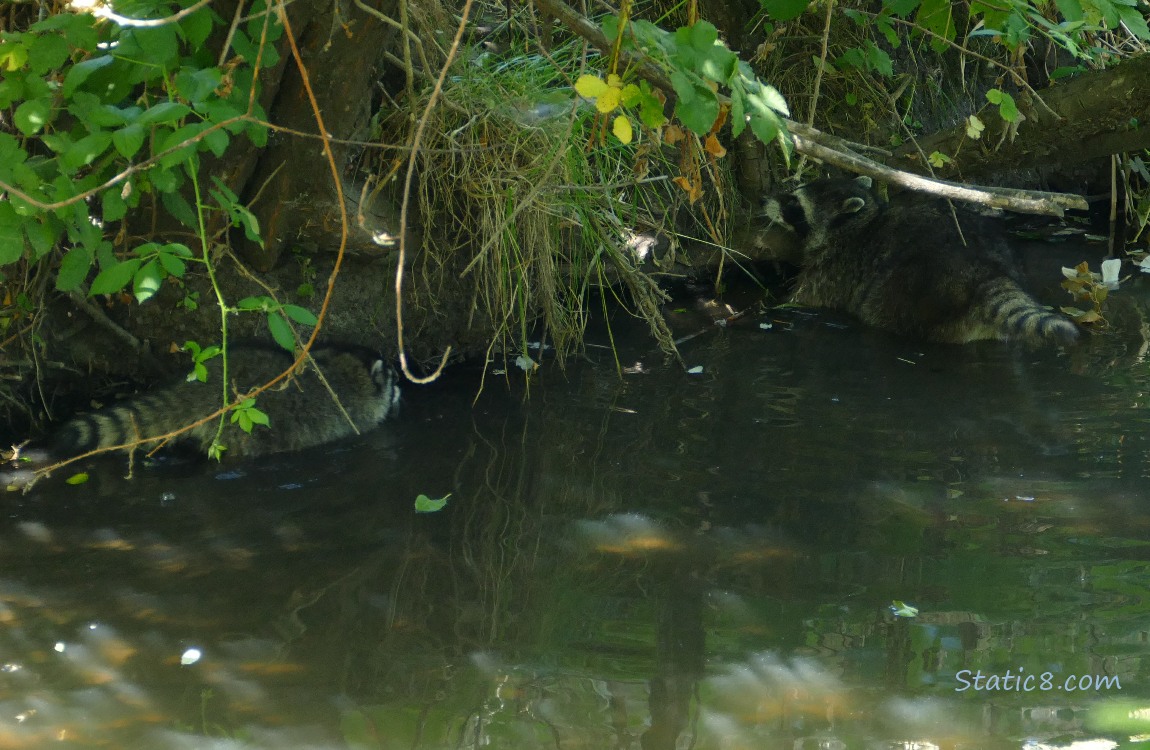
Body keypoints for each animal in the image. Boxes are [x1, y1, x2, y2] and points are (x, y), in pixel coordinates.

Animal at [762, 176, 1080, 346]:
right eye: (793, 194)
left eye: (794, 205)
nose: (765, 200)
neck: (862, 221)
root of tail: (987, 270)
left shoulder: (836, 267)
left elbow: (807, 300)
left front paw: (775, 303)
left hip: (912, 291)